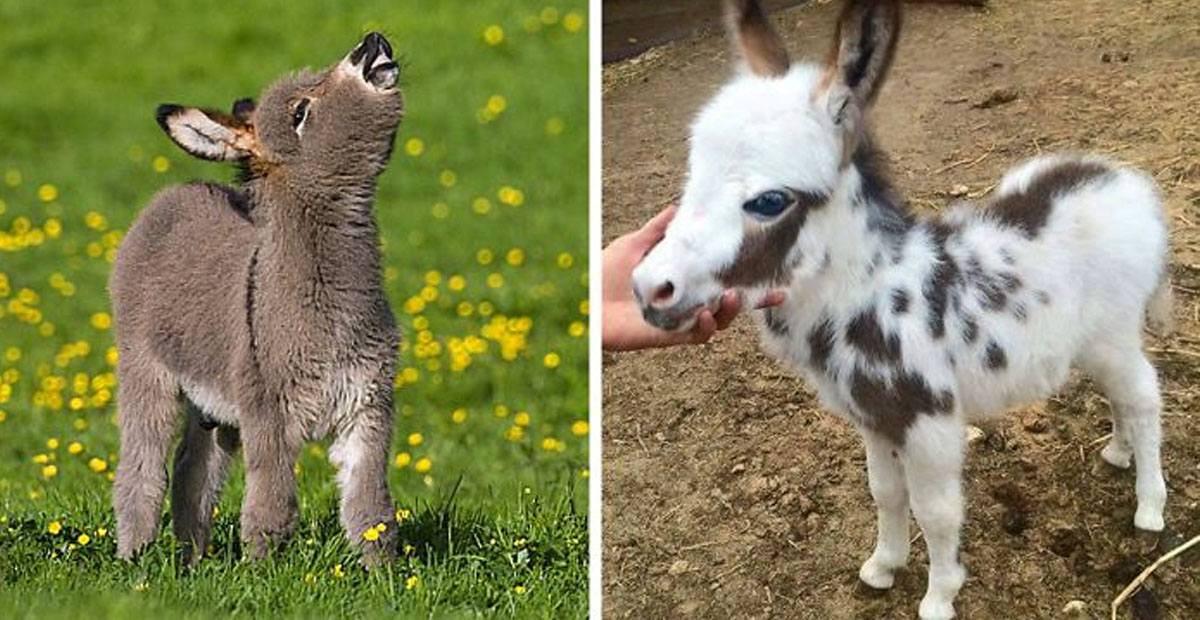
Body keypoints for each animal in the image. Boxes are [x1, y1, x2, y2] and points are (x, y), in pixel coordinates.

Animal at [111, 33, 408, 566]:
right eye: (300, 112)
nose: (371, 42)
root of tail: (174, 193)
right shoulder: (269, 414)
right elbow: (273, 506)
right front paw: (261, 571)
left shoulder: (368, 407)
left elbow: (370, 511)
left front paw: (386, 576)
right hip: (145, 370)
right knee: (141, 472)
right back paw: (134, 559)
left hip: (214, 406)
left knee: (193, 471)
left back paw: (191, 561)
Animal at [638, 2, 1171, 614]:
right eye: (692, 174)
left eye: (769, 201)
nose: (649, 289)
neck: (872, 293)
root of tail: (1128, 184)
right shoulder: (874, 418)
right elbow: (886, 493)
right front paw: (882, 567)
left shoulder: (928, 422)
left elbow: (936, 512)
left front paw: (939, 596)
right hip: (1089, 342)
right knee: (1119, 397)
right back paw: (1117, 453)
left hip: (1117, 332)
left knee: (1144, 398)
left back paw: (1150, 506)